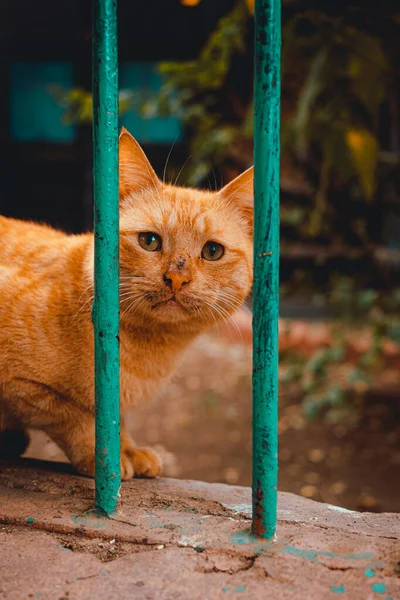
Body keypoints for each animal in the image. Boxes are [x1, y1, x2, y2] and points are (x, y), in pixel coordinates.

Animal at [0, 129, 253, 480]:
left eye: (213, 251)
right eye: (149, 241)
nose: (177, 278)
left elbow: (112, 421)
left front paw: (129, 449)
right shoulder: (23, 387)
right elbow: (73, 416)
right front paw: (103, 457)